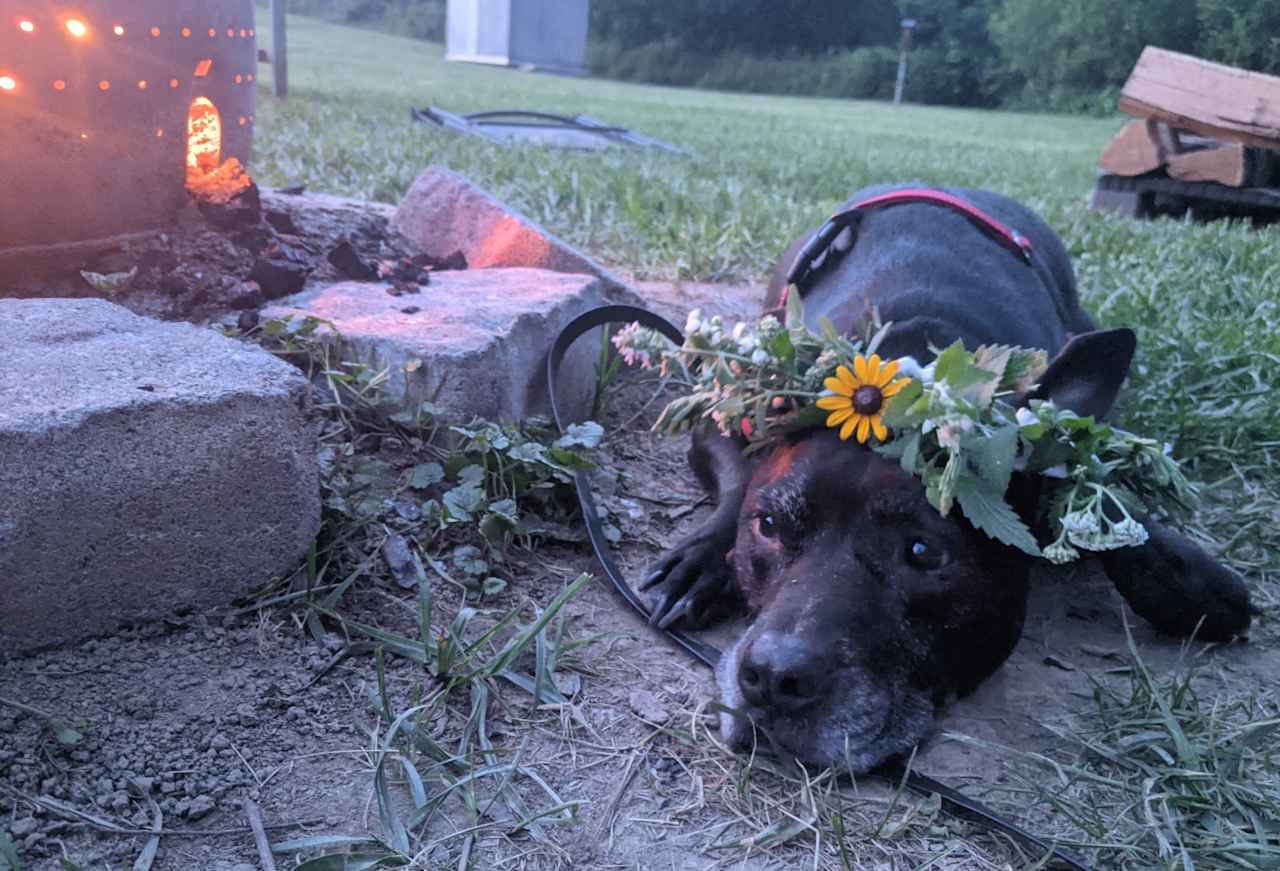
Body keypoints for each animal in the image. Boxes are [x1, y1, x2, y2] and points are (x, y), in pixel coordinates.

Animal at [640, 181, 1249, 768]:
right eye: (767, 526)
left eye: (922, 552)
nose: (770, 677)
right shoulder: (723, 413)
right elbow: (737, 482)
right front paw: (699, 560)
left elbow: (1101, 493)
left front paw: (1190, 580)